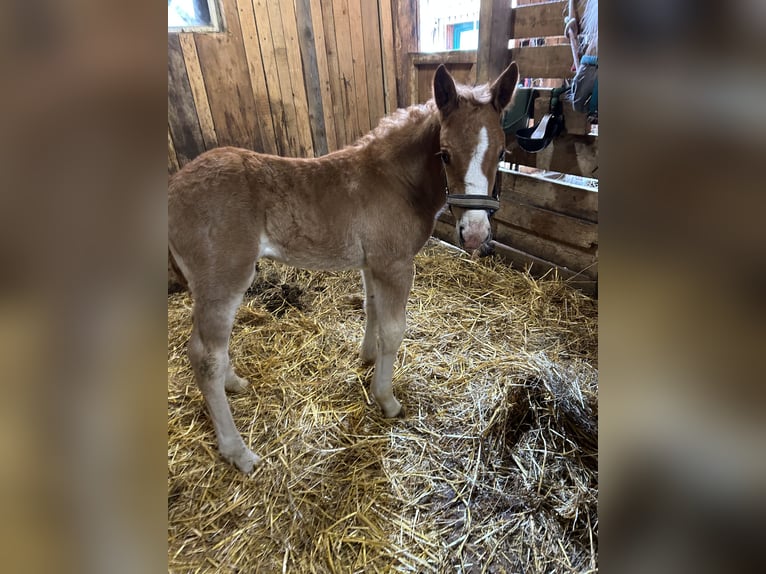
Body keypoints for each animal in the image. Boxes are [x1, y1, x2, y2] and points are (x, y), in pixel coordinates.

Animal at [168, 62, 519, 473]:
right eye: (444, 154)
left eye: (502, 151)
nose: (475, 234)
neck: (395, 182)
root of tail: (172, 187)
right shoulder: (395, 265)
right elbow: (394, 330)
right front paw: (386, 399)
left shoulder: (372, 263)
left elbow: (371, 310)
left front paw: (367, 358)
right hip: (223, 281)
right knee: (205, 357)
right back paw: (237, 451)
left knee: (206, 349)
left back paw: (233, 383)